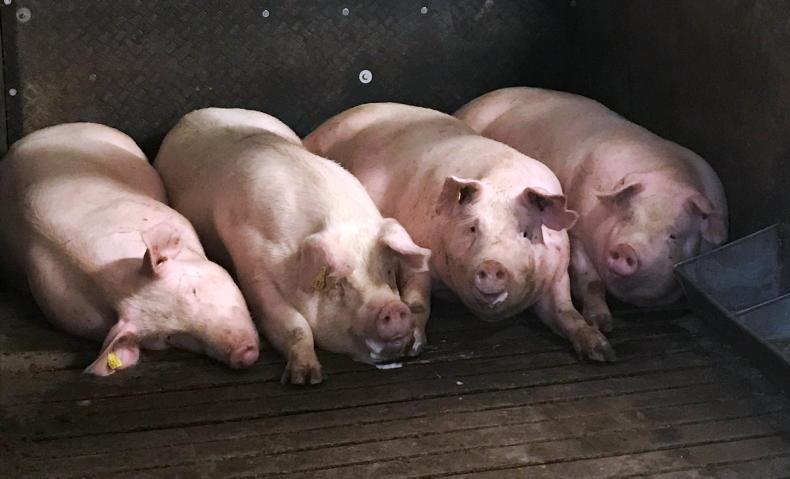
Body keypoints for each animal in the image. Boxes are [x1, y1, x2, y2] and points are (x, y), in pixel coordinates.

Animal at [154, 108, 432, 385]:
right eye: (337, 284)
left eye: (388, 271)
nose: (395, 309)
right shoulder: (254, 268)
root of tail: (203, 110)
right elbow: (294, 324)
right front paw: (305, 378)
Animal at [304, 103, 615, 362]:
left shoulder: (558, 273)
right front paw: (412, 346)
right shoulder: (418, 252)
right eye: (473, 227)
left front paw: (601, 351)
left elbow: (565, 311)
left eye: (527, 233)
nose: (492, 265)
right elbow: (418, 302)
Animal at [456, 87, 728, 331]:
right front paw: (601, 324)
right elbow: (591, 282)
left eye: (673, 235)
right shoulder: (576, 232)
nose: (626, 249)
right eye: (628, 216)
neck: (668, 176)